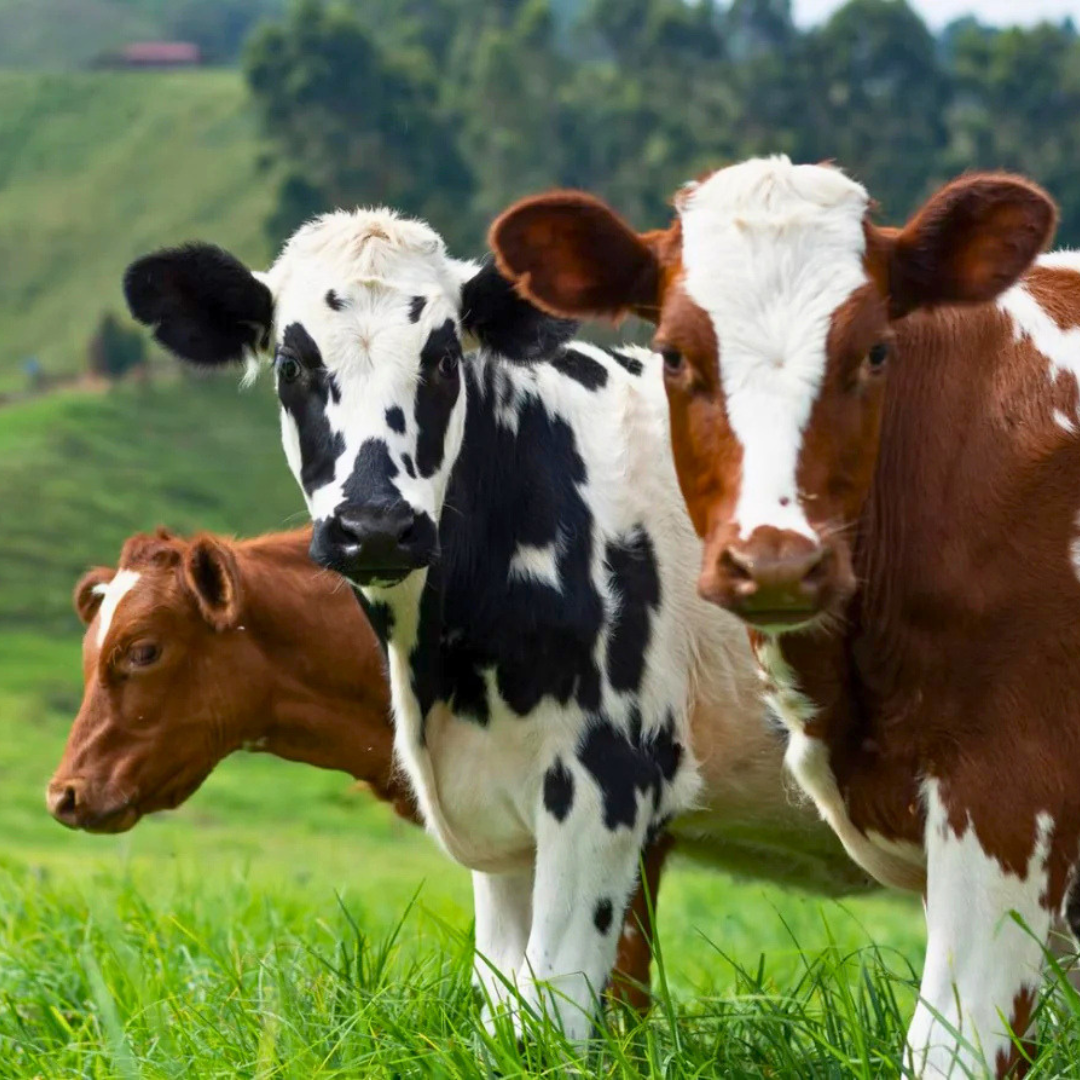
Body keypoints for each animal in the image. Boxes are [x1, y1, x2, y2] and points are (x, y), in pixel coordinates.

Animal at [120, 212, 872, 1039]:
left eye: (444, 357)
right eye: (292, 363)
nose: (375, 527)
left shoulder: (608, 783)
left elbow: (553, 1006)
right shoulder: (502, 822)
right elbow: (503, 1003)